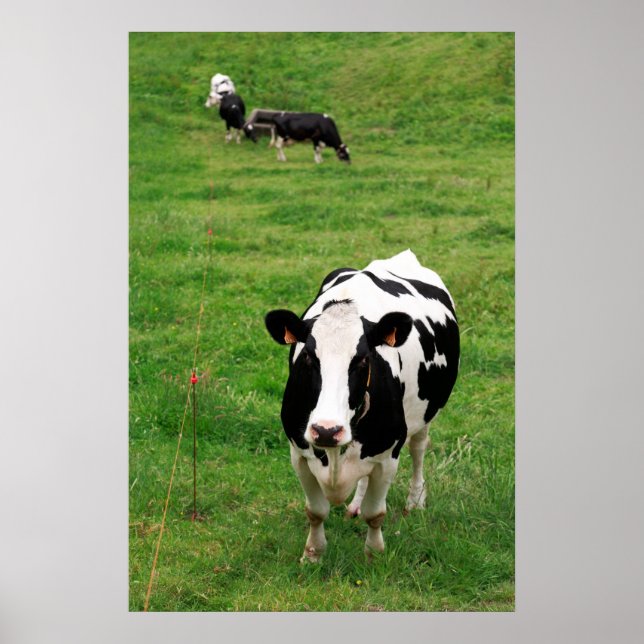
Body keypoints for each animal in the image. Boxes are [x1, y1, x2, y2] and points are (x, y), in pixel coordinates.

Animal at [264, 250, 459, 562]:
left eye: (363, 359)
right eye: (308, 356)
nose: (326, 431)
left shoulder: (388, 454)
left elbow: (375, 513)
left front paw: (374, 554)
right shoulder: (299, 453)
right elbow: (315, 511)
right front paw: (313, 553)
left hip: (424, 414)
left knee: (418, 449)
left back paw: (415, 500)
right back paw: (355, 504)